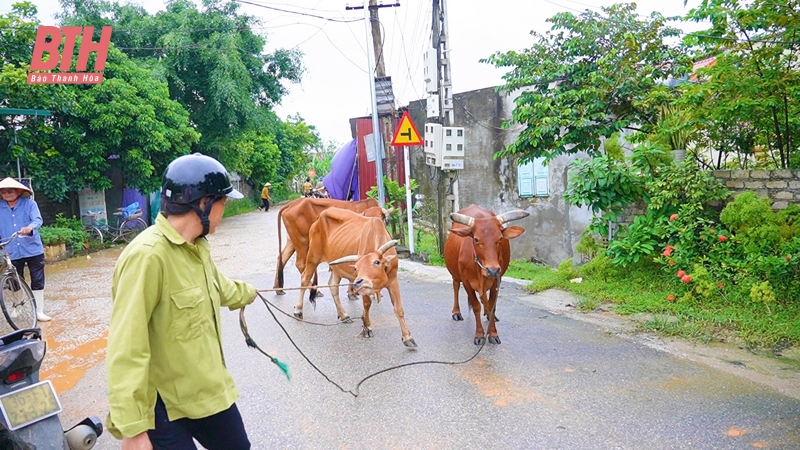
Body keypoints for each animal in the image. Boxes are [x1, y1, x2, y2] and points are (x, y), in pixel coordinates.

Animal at [296, 207, 418, 348]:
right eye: (356, 268)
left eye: (377, 262)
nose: (358, 281)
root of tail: (319, 217)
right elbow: (367, 304)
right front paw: (367, 327)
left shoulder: (393, 280)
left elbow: (398, 309)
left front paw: (407, 337)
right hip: (313, 256)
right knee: (304, 278)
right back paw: (298, 310)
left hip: (336, 265)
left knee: (332, 285)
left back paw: (344, 315)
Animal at [444, 204, 532, 344]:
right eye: (475, 239)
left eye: (500, 238)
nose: (492, 270)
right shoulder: (466, 282)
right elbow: (476, 306)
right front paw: (480, 334)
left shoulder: (497, 280)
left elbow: (491, 307)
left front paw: (493, 333)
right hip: (455, 275)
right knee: (456, 287)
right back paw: (456, 312)